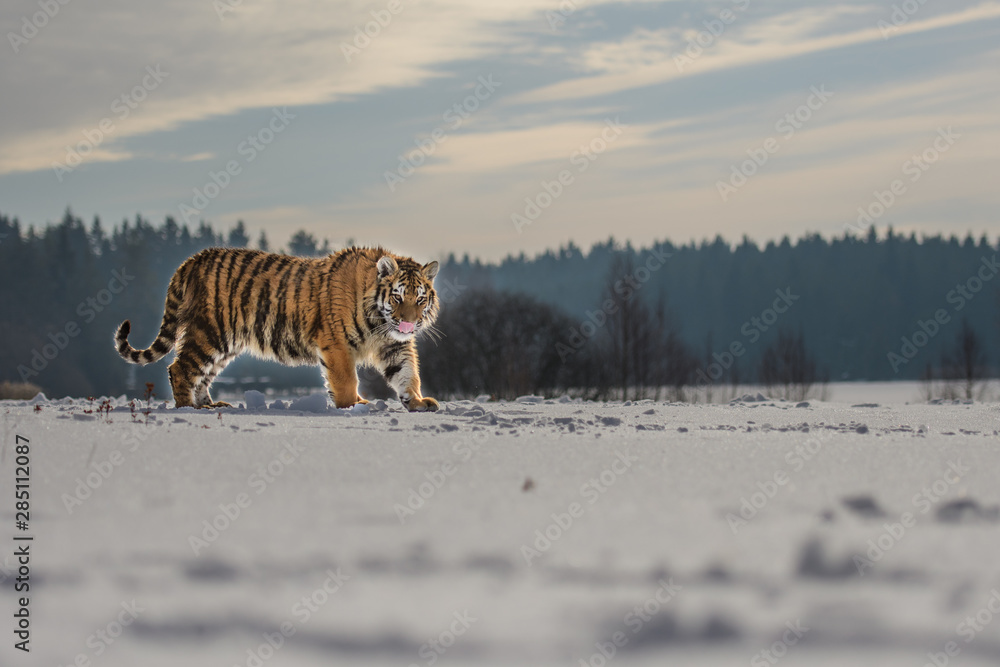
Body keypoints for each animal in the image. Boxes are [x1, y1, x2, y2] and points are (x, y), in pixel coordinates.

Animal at [114, 246, 441, 411]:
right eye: (397, 296)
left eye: (419, 298)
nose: (408, 323)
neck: (381, 323)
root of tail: (191, 260)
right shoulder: (337, 344)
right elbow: (346, 381)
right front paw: (354, 406)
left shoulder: (394, 345)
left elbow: (407, 374)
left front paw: (418, 402)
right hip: (209, 331)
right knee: (180, 368)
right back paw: (189, 409)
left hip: (224, 344)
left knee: (202, 375)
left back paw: (212, 404)